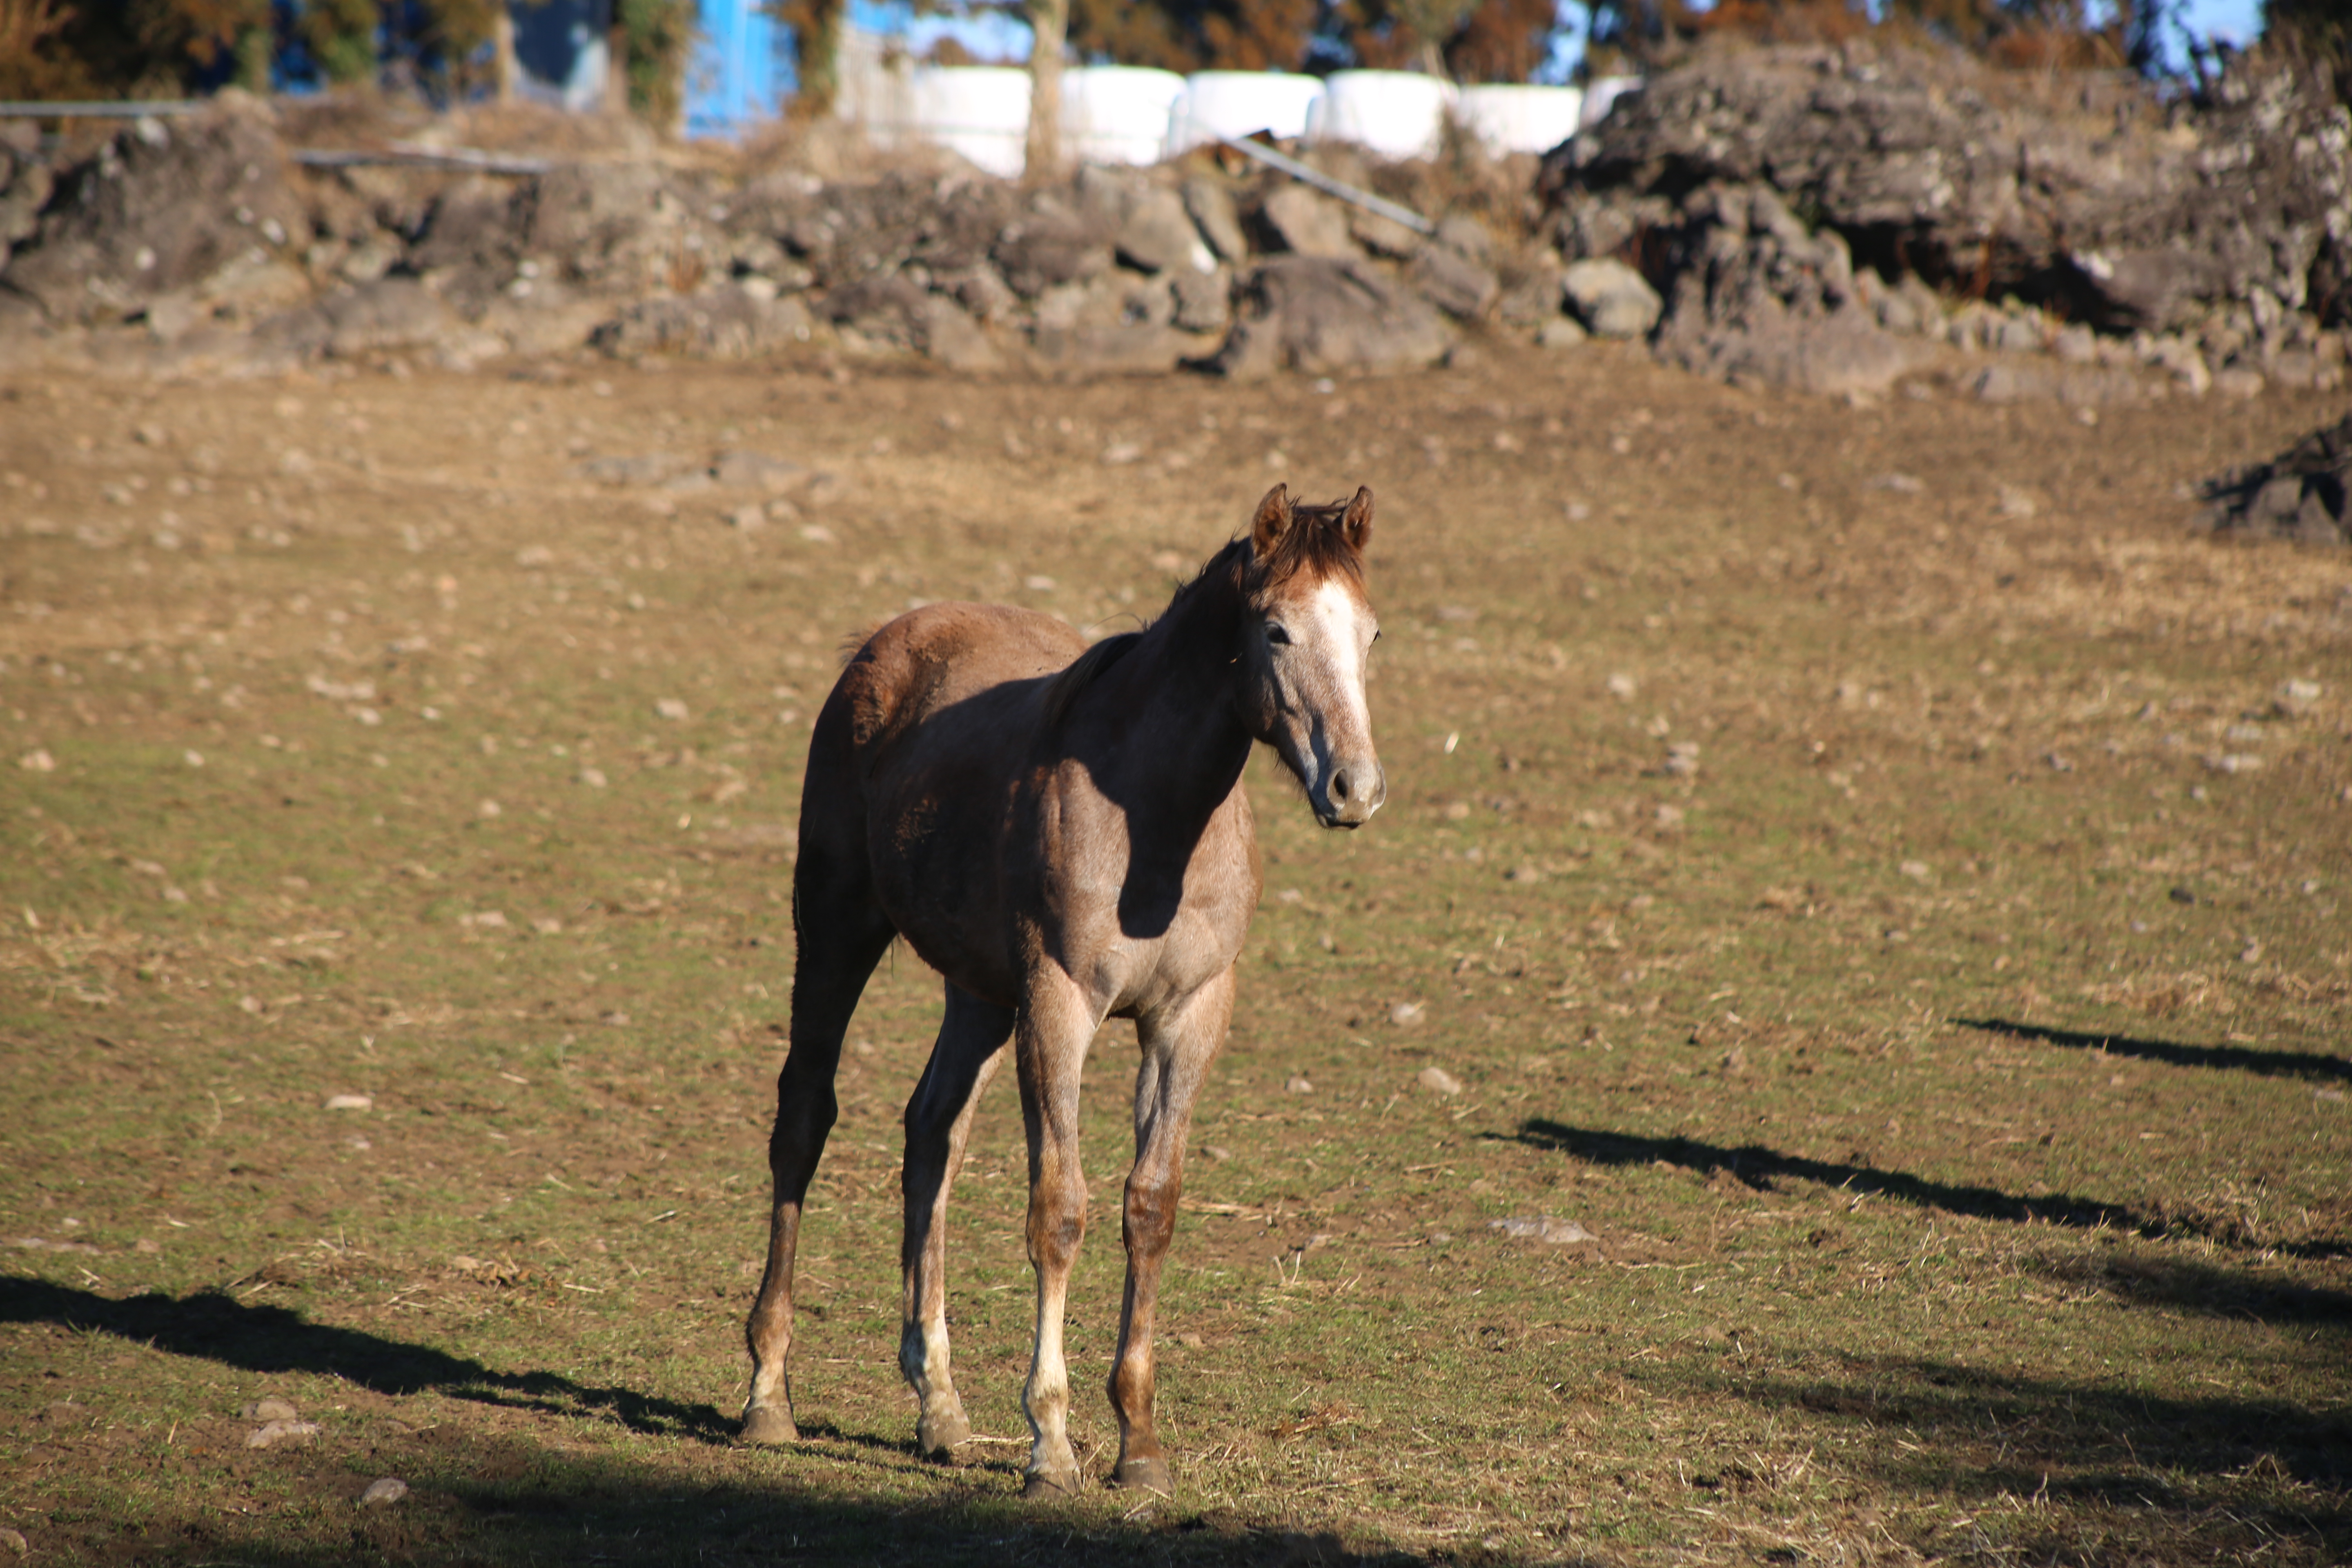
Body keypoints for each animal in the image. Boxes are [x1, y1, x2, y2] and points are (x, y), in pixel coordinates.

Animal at [743, 484, 1383, 1504]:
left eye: (1369, 633)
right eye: (1277, 631)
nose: (1355, 788)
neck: (1155, 819)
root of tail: (887, 641)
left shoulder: (1190, 1018)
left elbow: (1149, 1210)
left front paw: (1141, 1444)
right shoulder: (1057, 1008)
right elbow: (1061, 1212)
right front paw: (1050, 1441)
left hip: (977, 994)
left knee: (933, 1136)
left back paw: (942, 1412)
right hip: (838, 927)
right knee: (805, 1116)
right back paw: (769, 1392)